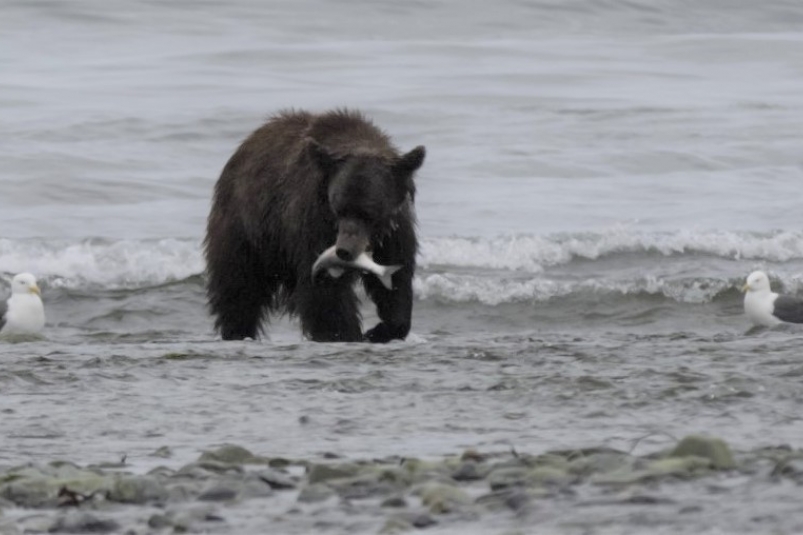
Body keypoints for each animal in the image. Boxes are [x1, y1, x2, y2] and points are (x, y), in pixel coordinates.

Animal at [204, 109, 424, 344]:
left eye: (368, 212)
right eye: (339, 208)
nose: (344, 251)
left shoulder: (394, 230)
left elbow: (396, 281)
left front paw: (381, 330)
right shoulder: (313, 223)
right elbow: (325, 291)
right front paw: (346, 333)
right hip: (246, 229)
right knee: (238, 287)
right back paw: (237, 330)